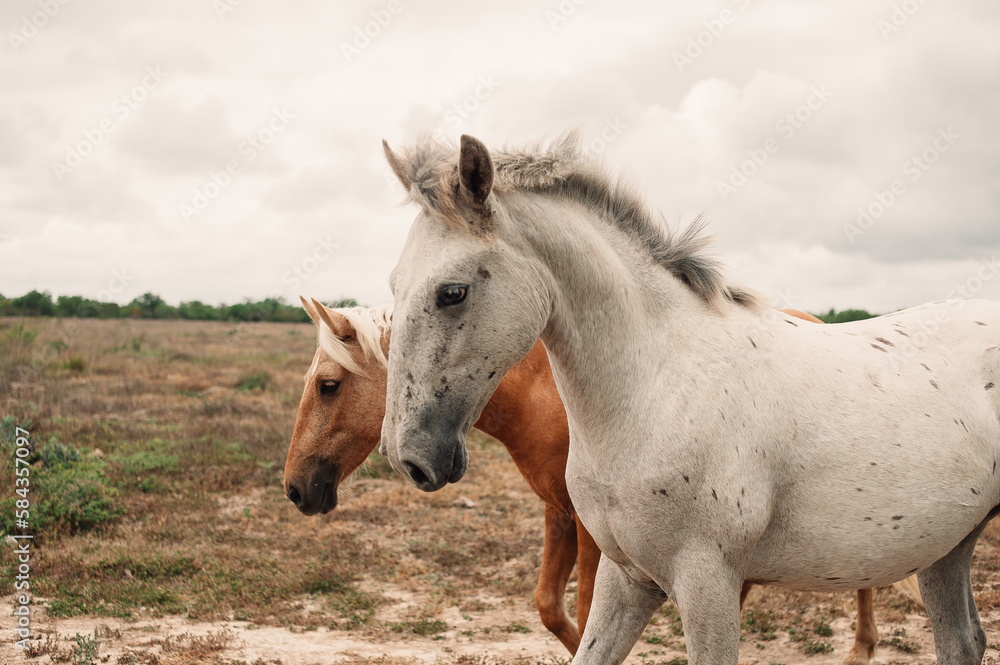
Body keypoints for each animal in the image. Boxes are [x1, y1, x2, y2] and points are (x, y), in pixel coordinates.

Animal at [286, 298, 916, 660]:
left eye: (328, 385)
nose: (295, 488)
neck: (546, 391)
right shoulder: (560, 513)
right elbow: (550, 606)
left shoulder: (599, 534)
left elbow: (585, 603)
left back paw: (861, 649)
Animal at [376, 132, 1000, 660]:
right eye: (394, 286)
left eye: (452, 292)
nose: (409, 458)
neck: (655, 389)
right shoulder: (626, 579)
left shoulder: (708, 584)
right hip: (946, 550)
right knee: (963, 640)